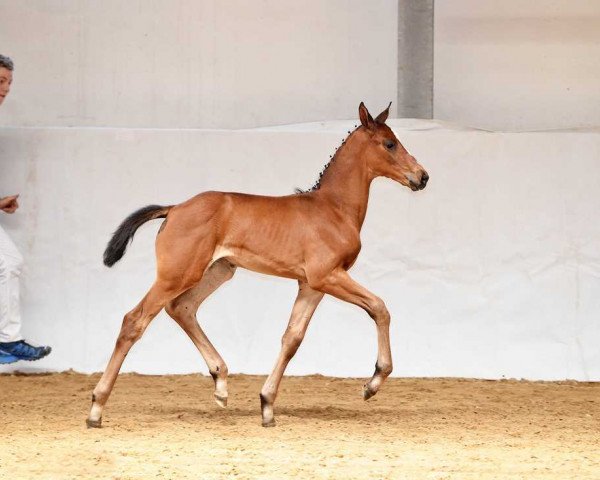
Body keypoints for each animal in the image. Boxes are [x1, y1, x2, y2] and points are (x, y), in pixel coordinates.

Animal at [86, 102, 428, 428]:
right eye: (389, 143)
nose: (422, 176)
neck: (333, 208)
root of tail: (174, 209)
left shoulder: (311, 284)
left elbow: (292, 338)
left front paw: (266, 405)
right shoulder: (328, 276)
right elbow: (379, 307)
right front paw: (373, 383)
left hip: (219, 271)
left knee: (182, 308)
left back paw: (221, 384)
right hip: (177, 275)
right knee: (134, 320)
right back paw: (96, 408)